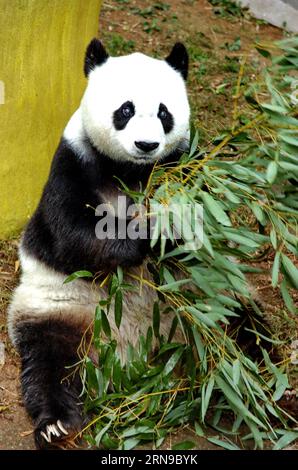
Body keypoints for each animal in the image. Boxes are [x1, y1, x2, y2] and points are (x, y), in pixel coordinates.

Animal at [8, 39, 190, 448]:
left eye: (164, 112)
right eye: (126, 109)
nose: (146, 144)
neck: (129, 169)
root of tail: (133, 355)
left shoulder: (178, 163)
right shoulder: (73, 161)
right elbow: (69, 232)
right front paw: (144, 237)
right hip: (59, 308)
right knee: (50, 362)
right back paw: (56, 424)